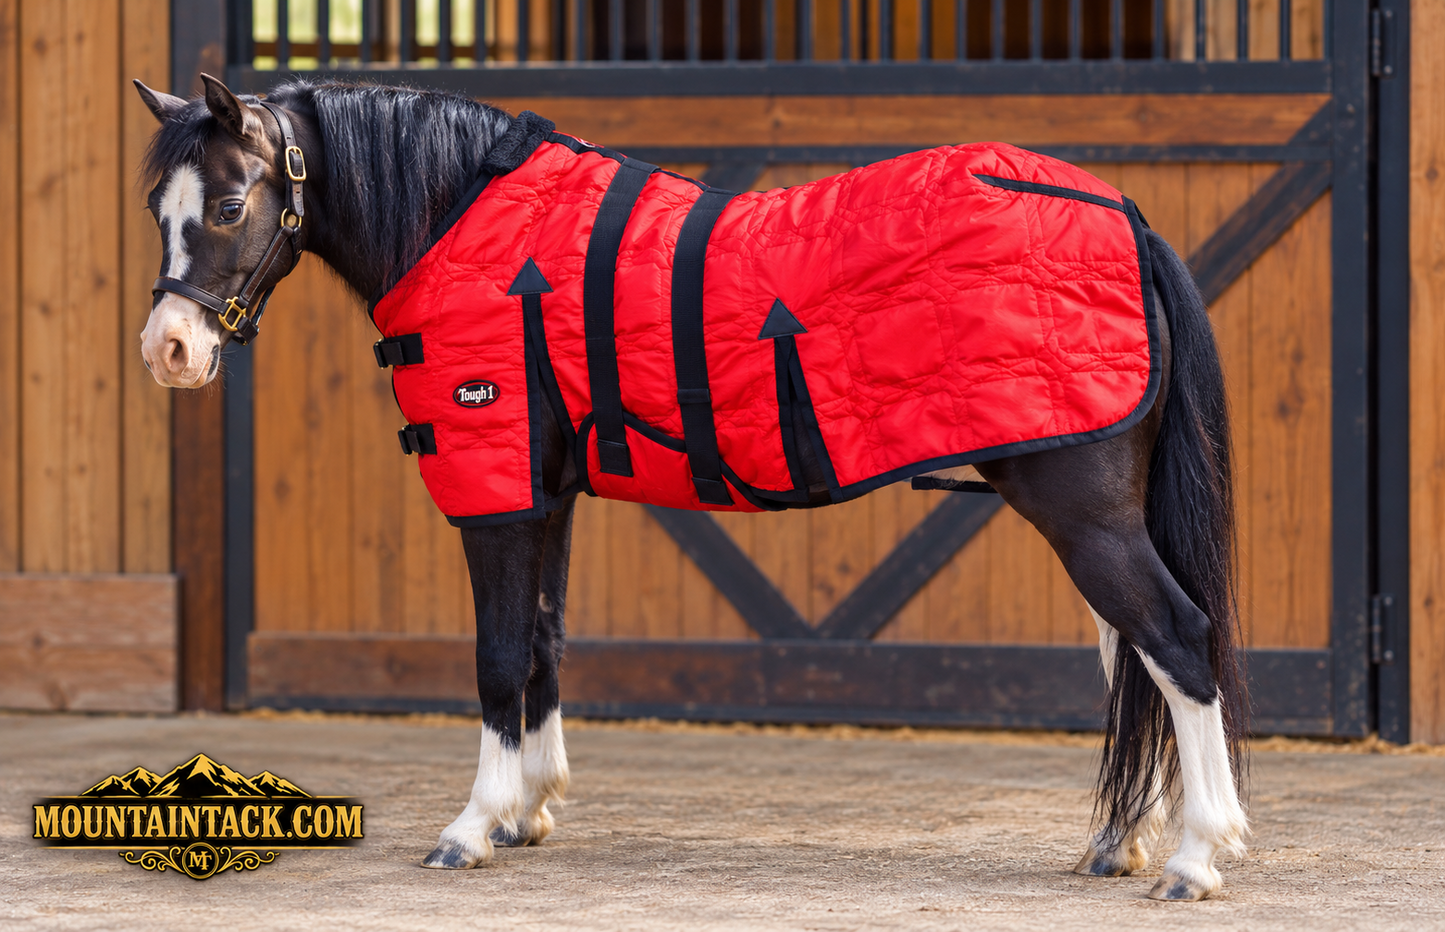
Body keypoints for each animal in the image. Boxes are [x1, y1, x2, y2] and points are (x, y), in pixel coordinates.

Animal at [132, 74, 1247, 901]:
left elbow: (496, 658)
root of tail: (1123, 212)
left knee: (1175, 641)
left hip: (1081, 510)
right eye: (158, 208)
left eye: (227, 204)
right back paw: (1120, 841)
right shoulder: (548, 494)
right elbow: (542, 642)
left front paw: (471, 825)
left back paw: (1197, 856)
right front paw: (529, 806)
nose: (168, 351)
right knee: (1131, 654)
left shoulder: (497, 489)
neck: (460, 218)